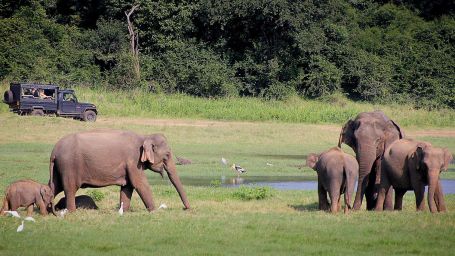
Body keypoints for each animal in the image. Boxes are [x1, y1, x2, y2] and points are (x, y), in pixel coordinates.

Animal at [49, 130, 191, 212]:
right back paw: (72, 212)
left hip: (59, 167)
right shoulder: (134, 161)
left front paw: (124, 211)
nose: (186, 208)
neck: (144, 137)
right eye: (167, 155)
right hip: (69, 166)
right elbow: (140, 184)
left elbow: (127, 187)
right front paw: (154, 211)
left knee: (54, 186)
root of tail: (54, 151)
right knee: (70, 188)